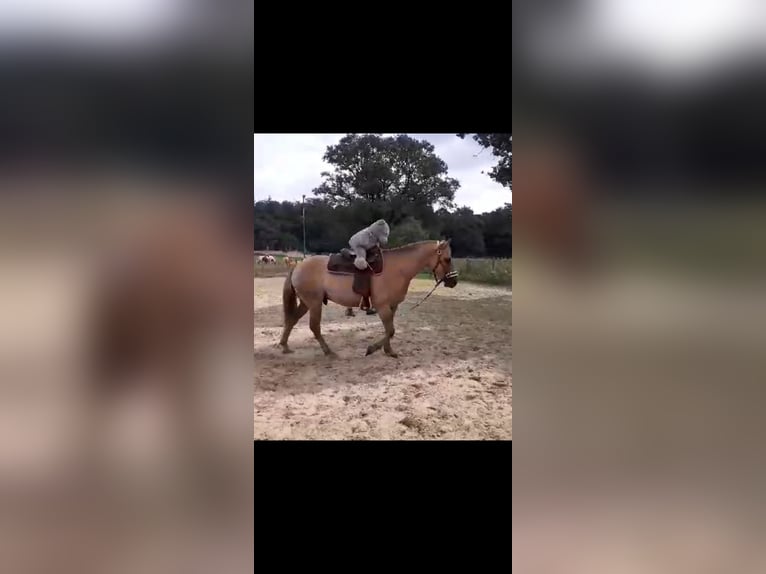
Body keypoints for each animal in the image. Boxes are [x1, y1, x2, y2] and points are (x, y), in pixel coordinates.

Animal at [284, 237, 460, 356]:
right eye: (447, 259)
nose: (454, 281)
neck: (398, 268)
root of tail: (298, 265)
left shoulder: (392, 306)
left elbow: (390, 330)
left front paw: (388, 350)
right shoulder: (382, 306)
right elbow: (391, 330)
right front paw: (372, 349)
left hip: (306, 303)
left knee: (292, 320)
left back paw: (284, 346)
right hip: (314, 303)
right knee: (314, 326)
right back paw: (328, 351)